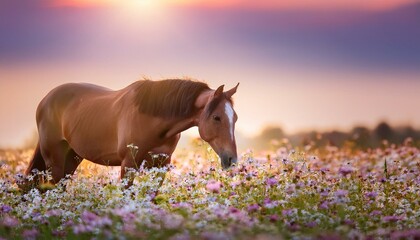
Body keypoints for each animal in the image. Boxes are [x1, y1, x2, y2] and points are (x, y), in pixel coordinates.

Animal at [23, 79, 240, 184]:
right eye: (217, 117)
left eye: (235, 118)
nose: (231, 160)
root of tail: (46, 99)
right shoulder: (128, 165)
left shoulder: (160, 167)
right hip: (54, 162)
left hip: (73, 158)